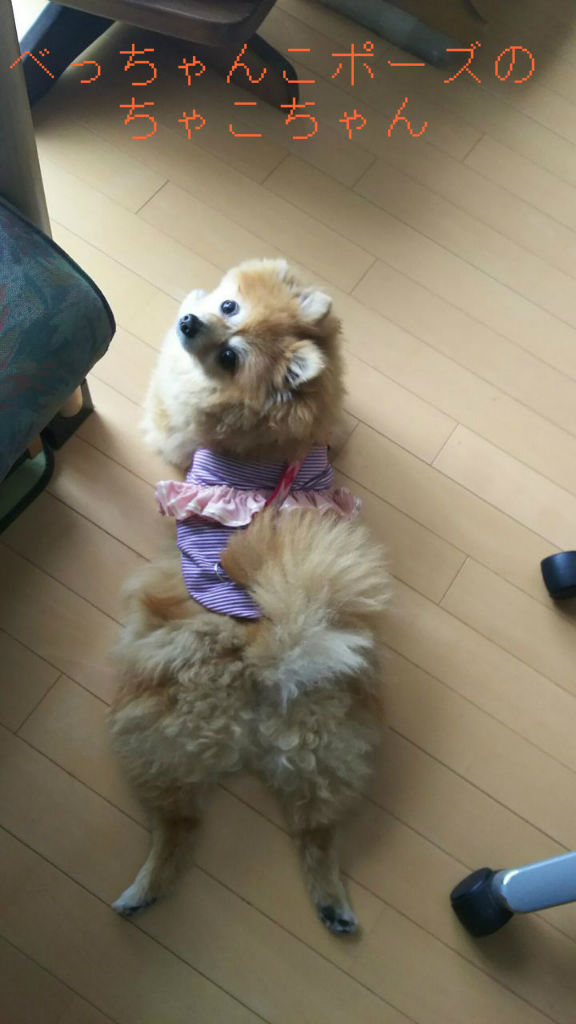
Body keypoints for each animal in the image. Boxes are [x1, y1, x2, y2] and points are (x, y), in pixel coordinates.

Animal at [109, 258, 390, 935]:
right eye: (230, 307)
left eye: (229, 356)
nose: (190, 321)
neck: (269, 429)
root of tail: (269, 651)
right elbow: (340, 427)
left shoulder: (175, 437)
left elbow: (165, 428)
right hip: (322, 752)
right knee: (317, 830)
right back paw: (333, 906)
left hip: (153, 726)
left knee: (180, 822)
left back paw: (141, 891)